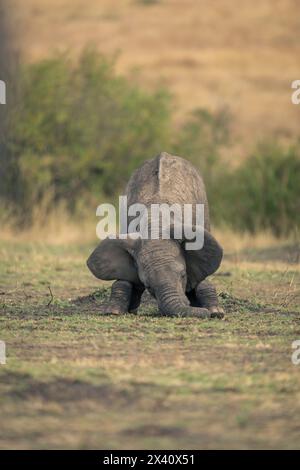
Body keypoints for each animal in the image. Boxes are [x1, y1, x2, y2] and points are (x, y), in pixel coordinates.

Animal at [86, 151, 223, 320]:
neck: (156, 225)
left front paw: (215, 312)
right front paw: (113, 312)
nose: (204, 313)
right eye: (149, 286)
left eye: (183, 275)